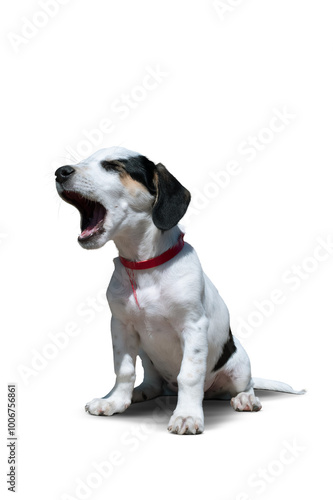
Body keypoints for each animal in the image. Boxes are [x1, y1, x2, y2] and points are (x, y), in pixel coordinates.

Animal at [54, 146, 304, 434]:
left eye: (113, 166)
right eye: (84, 160)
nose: (59, 172)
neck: (144, 266)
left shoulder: (193, 326)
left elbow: (189, 375)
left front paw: (186, 415)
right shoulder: (120, 326)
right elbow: (124, 369)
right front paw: (115, 401)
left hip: (240, 364)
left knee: (246, 385)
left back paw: (245, 399)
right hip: (147, 356)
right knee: (153, 383)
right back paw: (140, 392)